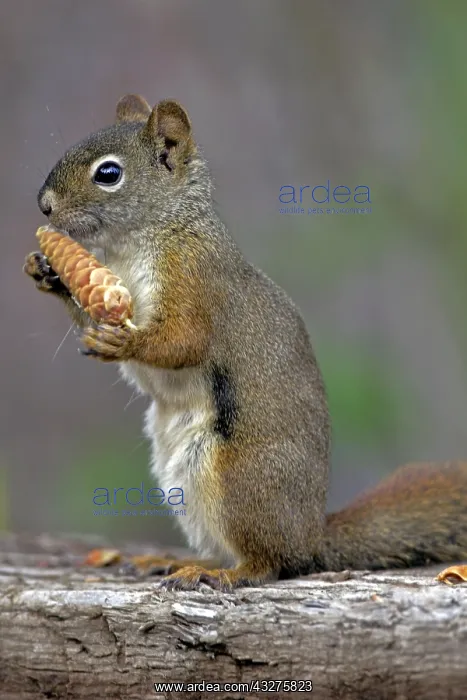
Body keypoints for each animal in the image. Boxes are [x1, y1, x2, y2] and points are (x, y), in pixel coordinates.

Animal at [25, 94, 467, 590]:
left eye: (108, 173)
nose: (44, 206)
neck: (136, 242)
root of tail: (310, 537)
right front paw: (47, 272)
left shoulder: (196, 282)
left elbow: (183, 341)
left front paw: (122, 345)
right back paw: (175, 560)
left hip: (236, 477)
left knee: (268, 563)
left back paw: (221, 573)